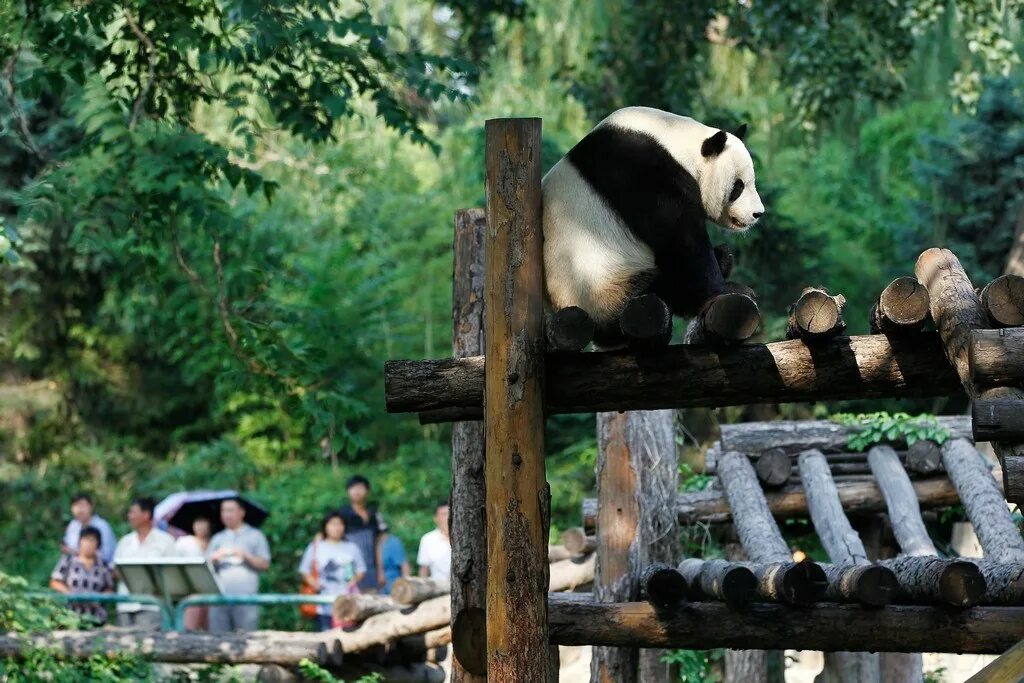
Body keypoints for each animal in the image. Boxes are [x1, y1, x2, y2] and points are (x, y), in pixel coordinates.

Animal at [544, 105, 761, 348]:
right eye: (738, 186)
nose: (757, 213)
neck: (676, 143)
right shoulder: (646, 175)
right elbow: (681, 241)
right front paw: (729, 290)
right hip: (604, 287)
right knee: (667, 286)